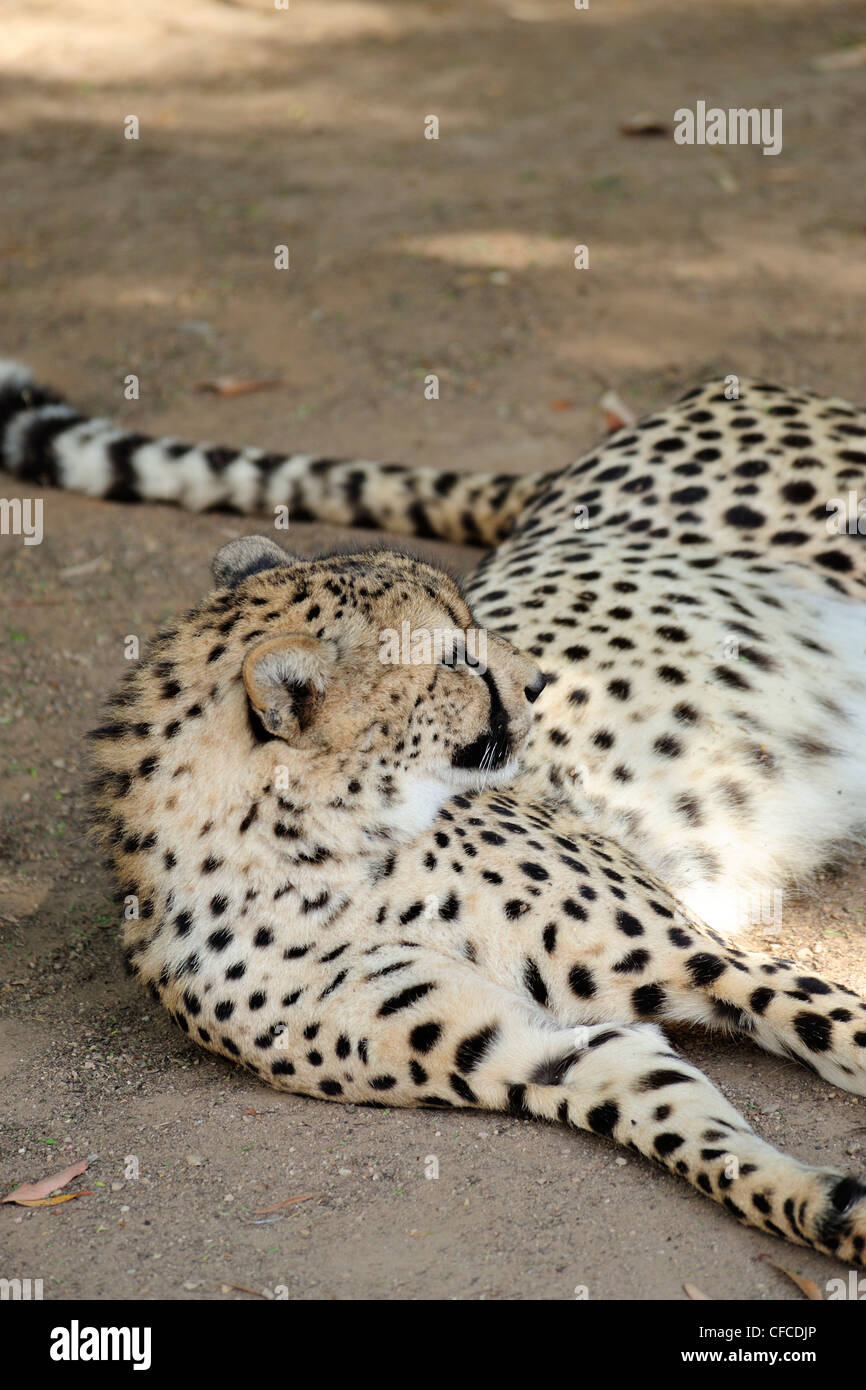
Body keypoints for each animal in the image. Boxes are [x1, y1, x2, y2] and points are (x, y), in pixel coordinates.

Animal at [5, 361, 866, 1273]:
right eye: (454, 657)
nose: (538, 683)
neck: (315, 857)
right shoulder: (553, 1053)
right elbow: (692, 1132)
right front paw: (830, 1210)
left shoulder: (695, 955)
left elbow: (833, 1023)